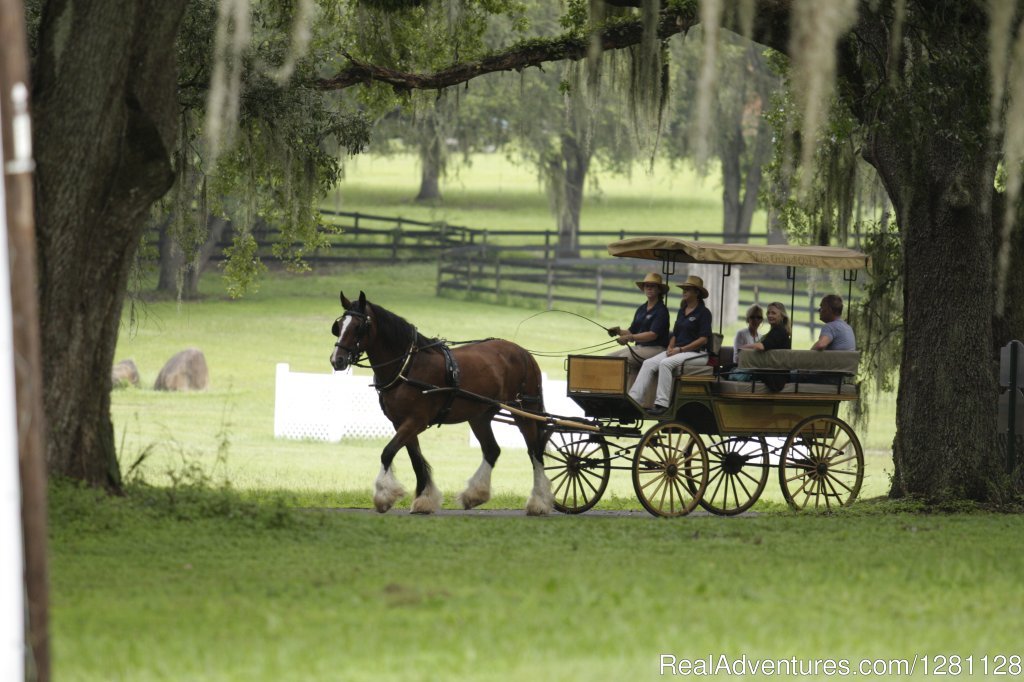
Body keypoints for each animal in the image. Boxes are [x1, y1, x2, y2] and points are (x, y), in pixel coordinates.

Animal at [327, 288, 552, 512]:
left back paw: (539, 501)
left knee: (535, 452)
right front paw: (424, 500)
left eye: (359, 327)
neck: (407, 366)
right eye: (339, 326)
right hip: (479, 415)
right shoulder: (401, 423)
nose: (337, 360)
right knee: (492, 450)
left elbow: (388, 452)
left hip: (525, 412)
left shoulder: (416, 421)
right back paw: (475, 495)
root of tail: (524, 353)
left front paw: (384, 496)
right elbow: (416, 460)